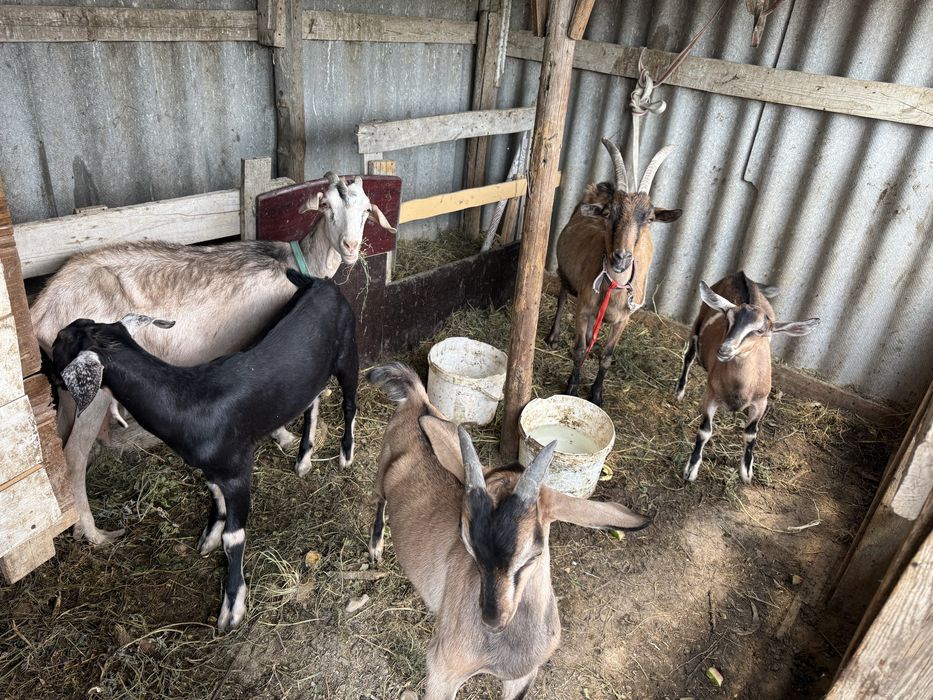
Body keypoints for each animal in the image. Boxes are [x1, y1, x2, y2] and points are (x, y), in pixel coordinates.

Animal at [31, 172, 390, 545]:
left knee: (60, 445)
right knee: (74, 457)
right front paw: (284, 436)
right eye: (326, 206)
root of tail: (41, 309)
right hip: (95, 391)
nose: (350, 247)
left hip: (69, 388)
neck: (295, 262)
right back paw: (95, 534)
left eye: (367, 210)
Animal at [52, 270, 357, 631]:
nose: (51, 378)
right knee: (312, 401)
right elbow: (214, 496)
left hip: (349, 351)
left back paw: (346, 454)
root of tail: (320, 282)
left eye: (60, 342)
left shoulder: (238, 470)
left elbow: (234, 537)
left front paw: (232, 606)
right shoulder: (209, 468)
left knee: (349, 402)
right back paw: (304, 458)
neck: (188, 397)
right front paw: (209, 536)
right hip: (310, 376)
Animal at [367, 363, 650, 699]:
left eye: (534, 553)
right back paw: (375, 548)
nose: (492, 619)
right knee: (380, 499)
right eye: (468, 545)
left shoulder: (524, 676)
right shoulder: (442, 671)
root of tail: (418, 400)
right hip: (382, 470)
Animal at [547, 138, 682, 406]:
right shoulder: (584, 309)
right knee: (562, 298)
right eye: (609, 213)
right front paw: (572, 387)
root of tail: (600, 189)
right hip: (566, 274)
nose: (621, 257)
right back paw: (553, 336)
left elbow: (607, 357)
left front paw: (597, 394)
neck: (613, 285)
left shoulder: (623, 320)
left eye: (650, 218)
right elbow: (579, 349)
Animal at [675, 271, 819, 484]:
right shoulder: (711, 394)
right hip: (697, 325)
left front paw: (746, 472)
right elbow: (704, 431)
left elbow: (751, 435)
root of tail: (742, 275)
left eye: (759, 331)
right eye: (727, 320)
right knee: (689, 355)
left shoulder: (761, 401)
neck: (740, 388)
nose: (725, 350)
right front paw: (690, 470)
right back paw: (679, 392)